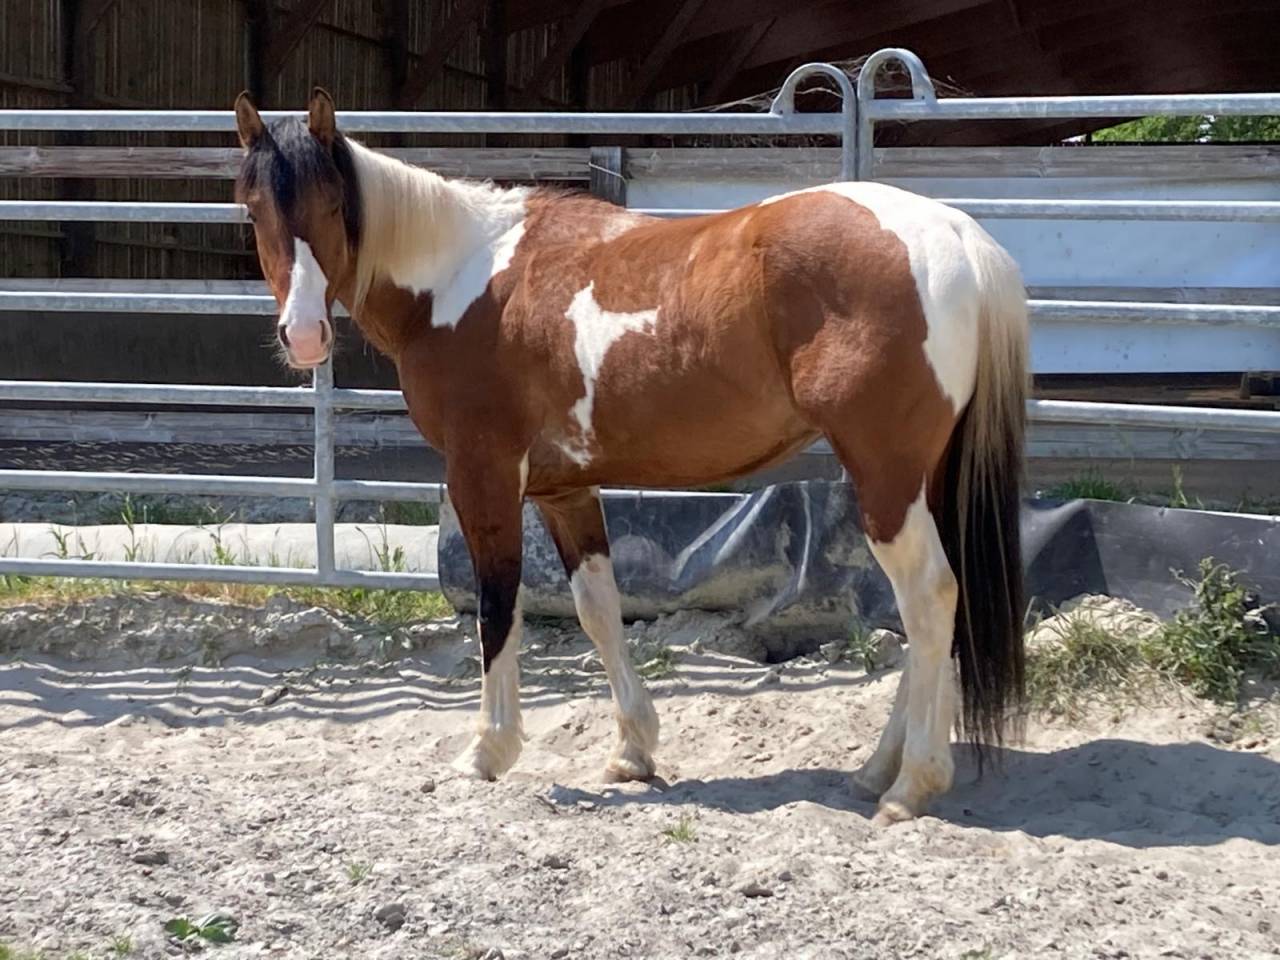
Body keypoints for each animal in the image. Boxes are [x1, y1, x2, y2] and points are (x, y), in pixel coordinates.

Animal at [233, 88, 1029, 824]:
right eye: (253, 207)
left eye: (333, 202)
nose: (304, 337)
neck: (464, 279)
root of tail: (955, 233)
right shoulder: (564, 491)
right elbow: (598, 611)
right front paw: (633, 751)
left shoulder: (483, 475)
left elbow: (497, 607)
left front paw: (488, 750)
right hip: (920, 479)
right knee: (929, 607)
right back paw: (875, 771)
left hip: (885, 478)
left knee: (929, 598)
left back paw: (910, 785)